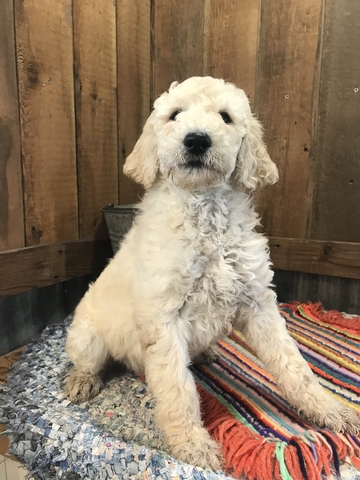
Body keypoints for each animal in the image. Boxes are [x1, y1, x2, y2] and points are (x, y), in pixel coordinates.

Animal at [65, 77, 360, 470]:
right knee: (86, 361)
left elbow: (293, 364)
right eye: (175, 115)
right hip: (88, 338)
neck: (204, 210)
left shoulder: (259, 303)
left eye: (225, 117)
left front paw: (328, 409)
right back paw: (81, 381)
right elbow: (178, 389)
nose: (196, 140)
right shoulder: (164, 319)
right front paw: (192, 445)